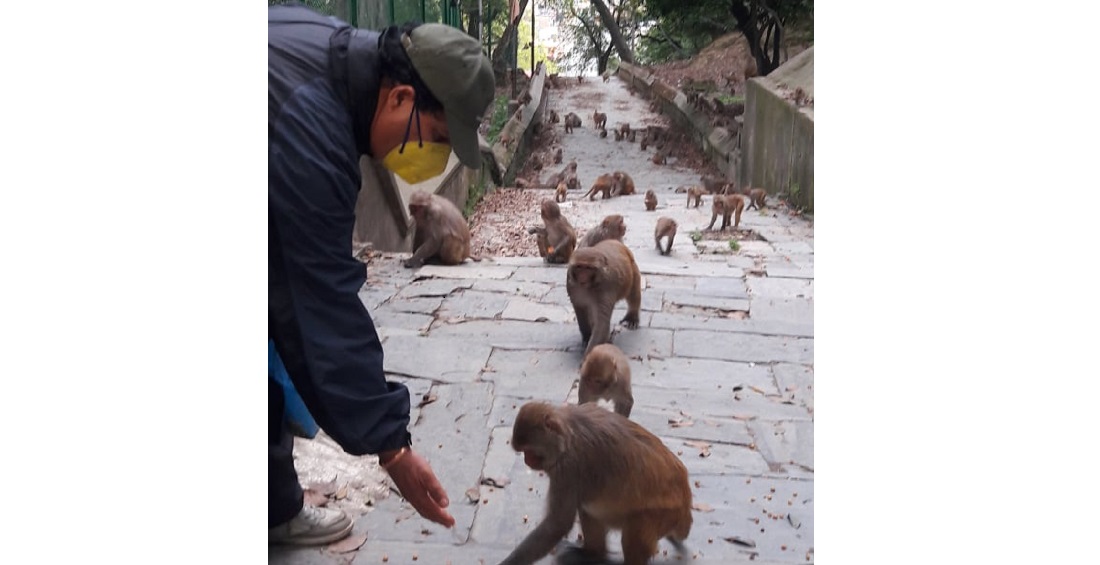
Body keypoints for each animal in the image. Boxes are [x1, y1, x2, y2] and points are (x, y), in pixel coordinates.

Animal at [501, 400, 690, 562]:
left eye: (529, 451)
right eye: (524, 452)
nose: (527, 461)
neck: (568, 436)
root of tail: (685, 504)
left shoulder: (569, 468)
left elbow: (557, 524)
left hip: (663, 513)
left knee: (635, 528)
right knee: (588, 507)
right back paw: (593, 553)